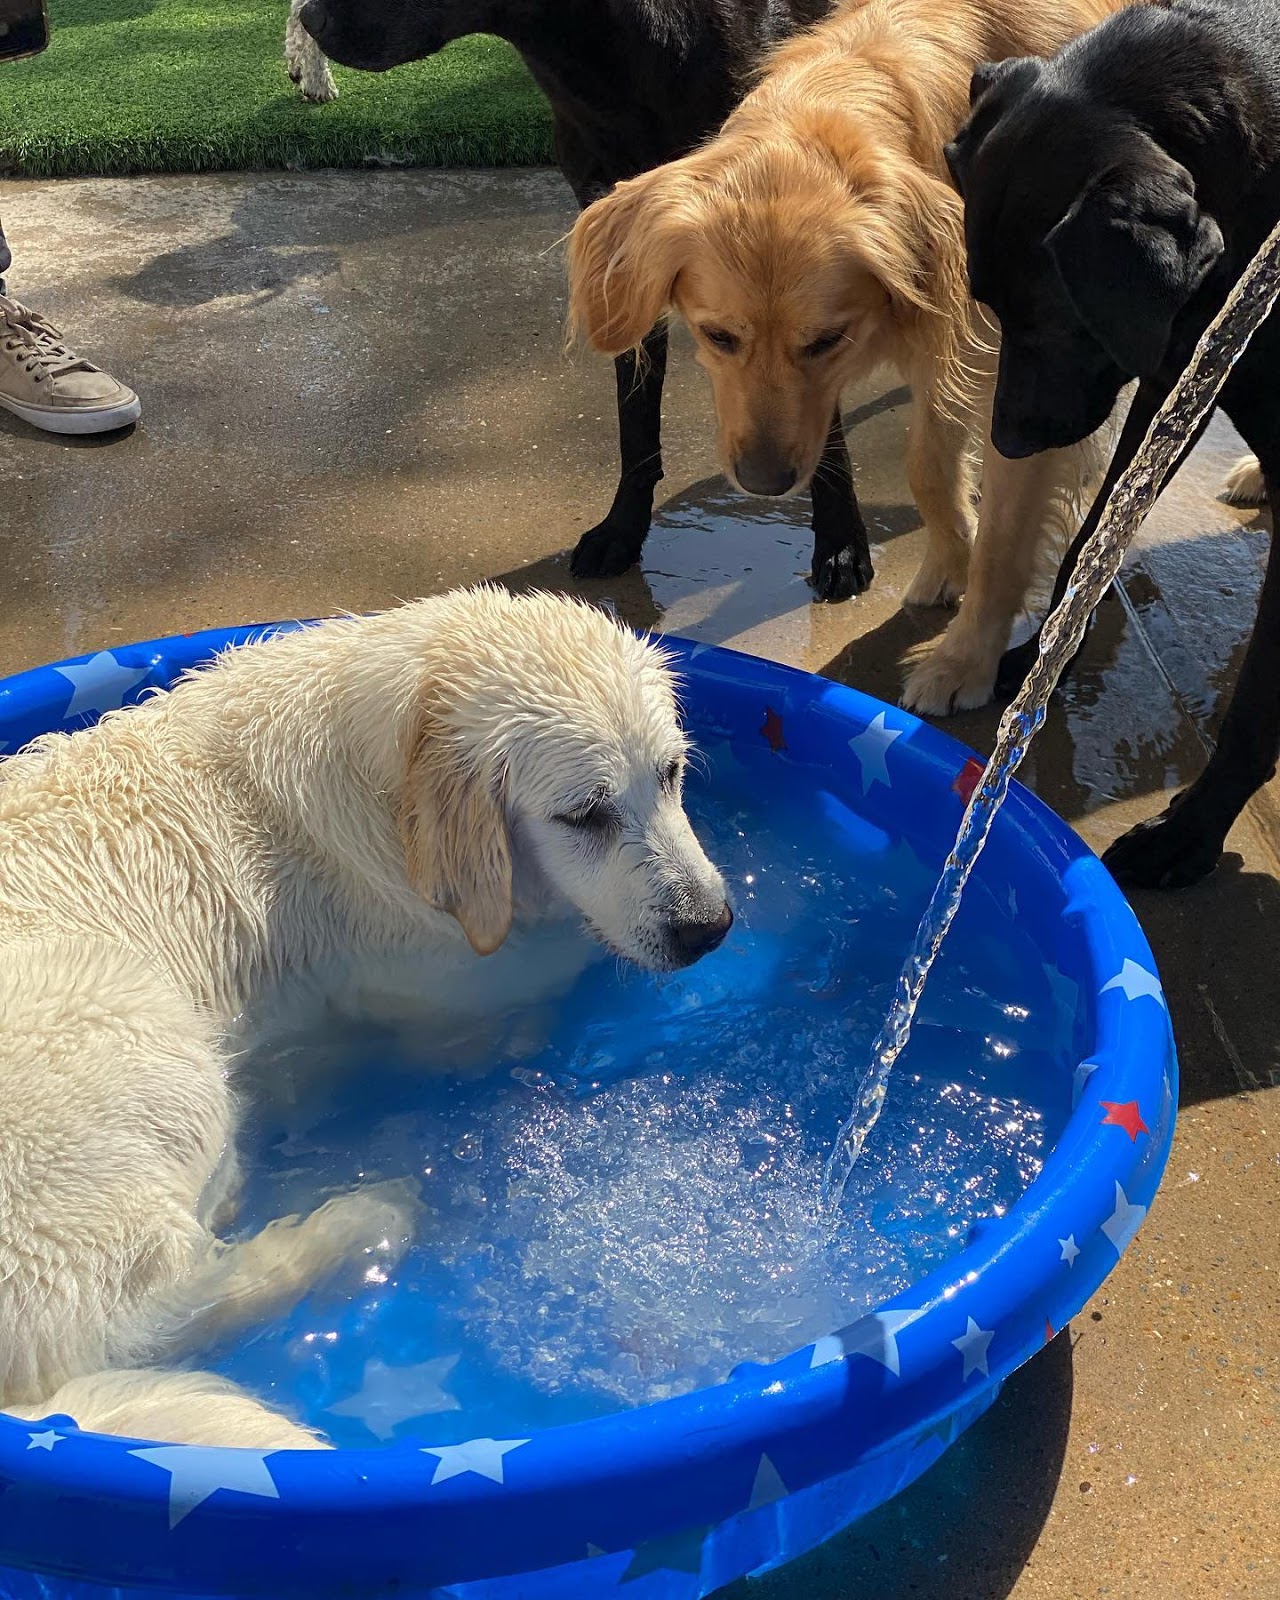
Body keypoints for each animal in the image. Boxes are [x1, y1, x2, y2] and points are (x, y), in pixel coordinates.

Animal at [0, 588, 729, 1452]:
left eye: (671, 774)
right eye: (583, 816)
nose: (710, 927)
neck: (394, 774)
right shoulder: (452, 975)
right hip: (128, 1018)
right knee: (140, 1318)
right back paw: (356, 1219)